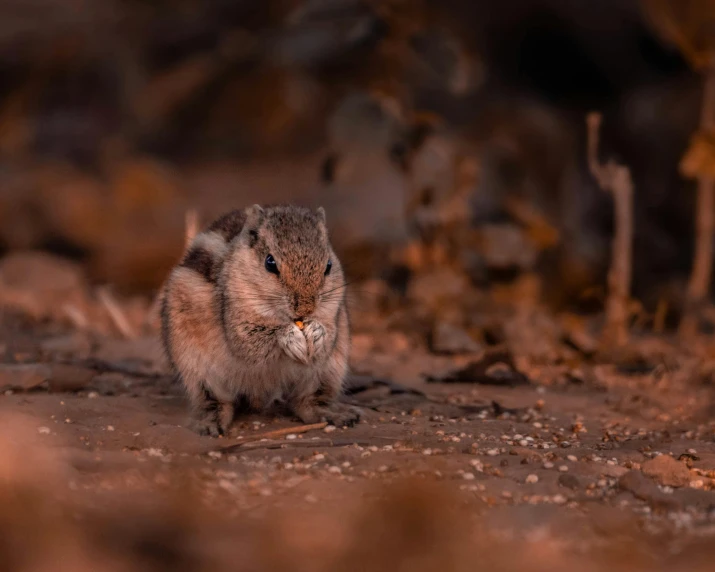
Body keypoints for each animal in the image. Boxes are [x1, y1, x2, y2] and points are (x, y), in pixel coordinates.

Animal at [164, 203, 360, 436]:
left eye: (328, 265)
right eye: (270, 263)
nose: (305, 309)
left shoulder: (333, 313)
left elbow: (328, 335)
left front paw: (316, 333)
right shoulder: (238, 323)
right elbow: (253, 342)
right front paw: (289, 337)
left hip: (329, 371)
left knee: (306, 403)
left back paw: (335, 414)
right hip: (197, 371)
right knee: (215, 401)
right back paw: (210, 423)